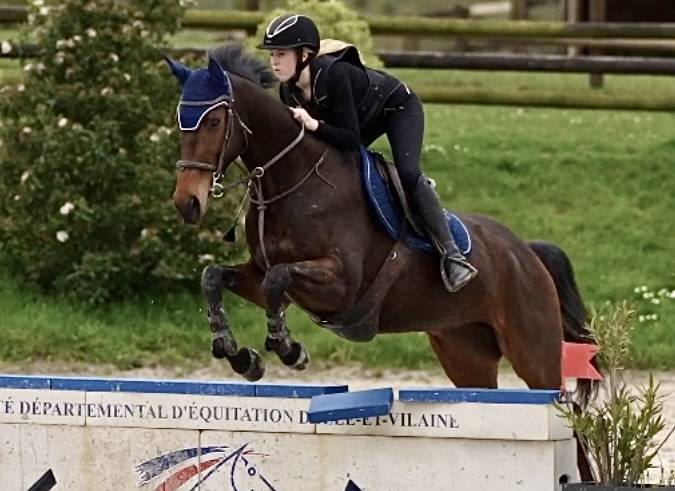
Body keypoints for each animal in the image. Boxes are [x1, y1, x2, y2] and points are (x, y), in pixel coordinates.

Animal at [166, 45, 597, 408]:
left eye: (214, 120)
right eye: (180, 122)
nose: (188, 203)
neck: (294, 180)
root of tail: (527, 252)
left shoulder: (341, 286)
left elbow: (278, 278)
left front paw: (289, 349)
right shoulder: (261, 277)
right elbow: (215, 276)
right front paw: (237, 354)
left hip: (534, 352)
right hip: (464, 350)